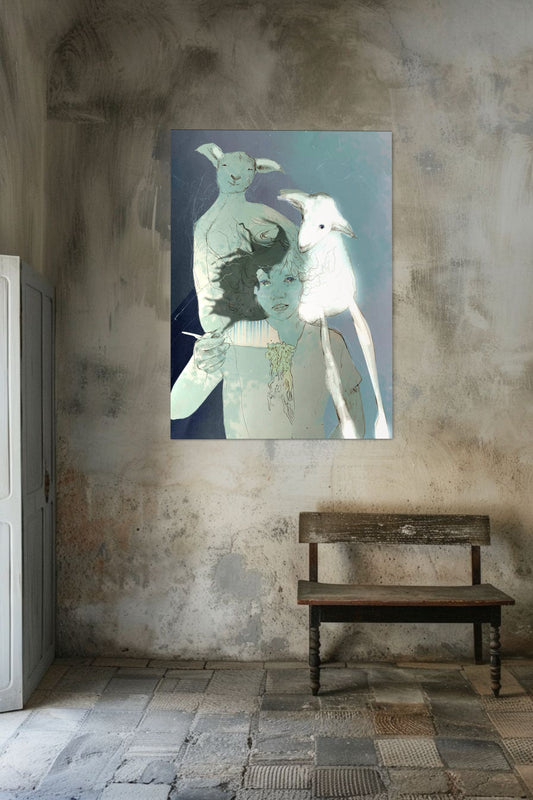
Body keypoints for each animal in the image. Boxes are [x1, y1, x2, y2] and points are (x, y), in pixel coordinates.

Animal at [279, 189, 389, 439]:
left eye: (322, 226)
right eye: (302, 218)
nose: (301, 245)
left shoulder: (351, 303)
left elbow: (368, 346)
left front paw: (382, 427)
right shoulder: (319, 314)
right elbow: (332, 372)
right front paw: (349, 428)